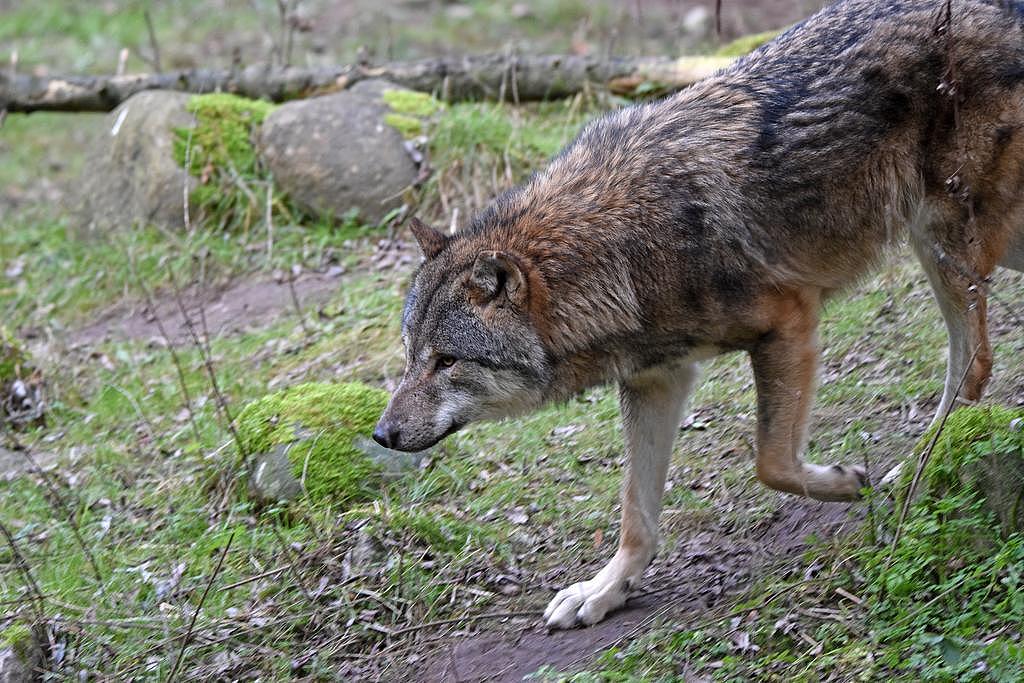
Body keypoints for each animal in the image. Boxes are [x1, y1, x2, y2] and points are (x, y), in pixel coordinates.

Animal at [374, 0, 1024, 629]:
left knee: (971, 364)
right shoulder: (655, 380)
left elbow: (771, 463)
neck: (615, 253)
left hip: (945, 241)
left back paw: (914, 470)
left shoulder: (788, 322)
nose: (381, 435)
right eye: (410, 358)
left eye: (446, 361)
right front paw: (606, 590)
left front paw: (845, 484)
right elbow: (636, 512)